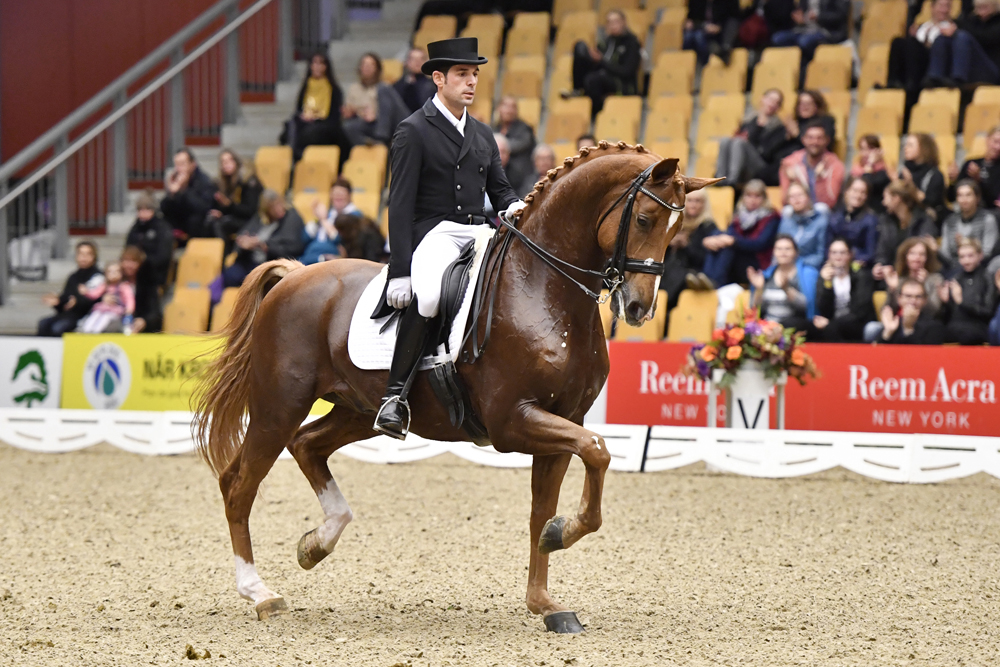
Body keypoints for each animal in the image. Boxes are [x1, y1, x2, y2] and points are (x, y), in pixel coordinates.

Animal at [191, 141, 716, 632]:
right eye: (645, 218)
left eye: (678, 231)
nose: (640, 308)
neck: (543, 287)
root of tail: (296, 275)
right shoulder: (513, 421)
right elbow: (598, 451)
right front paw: (562, 534)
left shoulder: (564, 419)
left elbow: (542, 507)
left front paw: (545, 600)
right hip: (280, 403)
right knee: (239, 484)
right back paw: (260, 593)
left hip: (358, 411)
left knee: (306, 446)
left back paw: (316, 544)